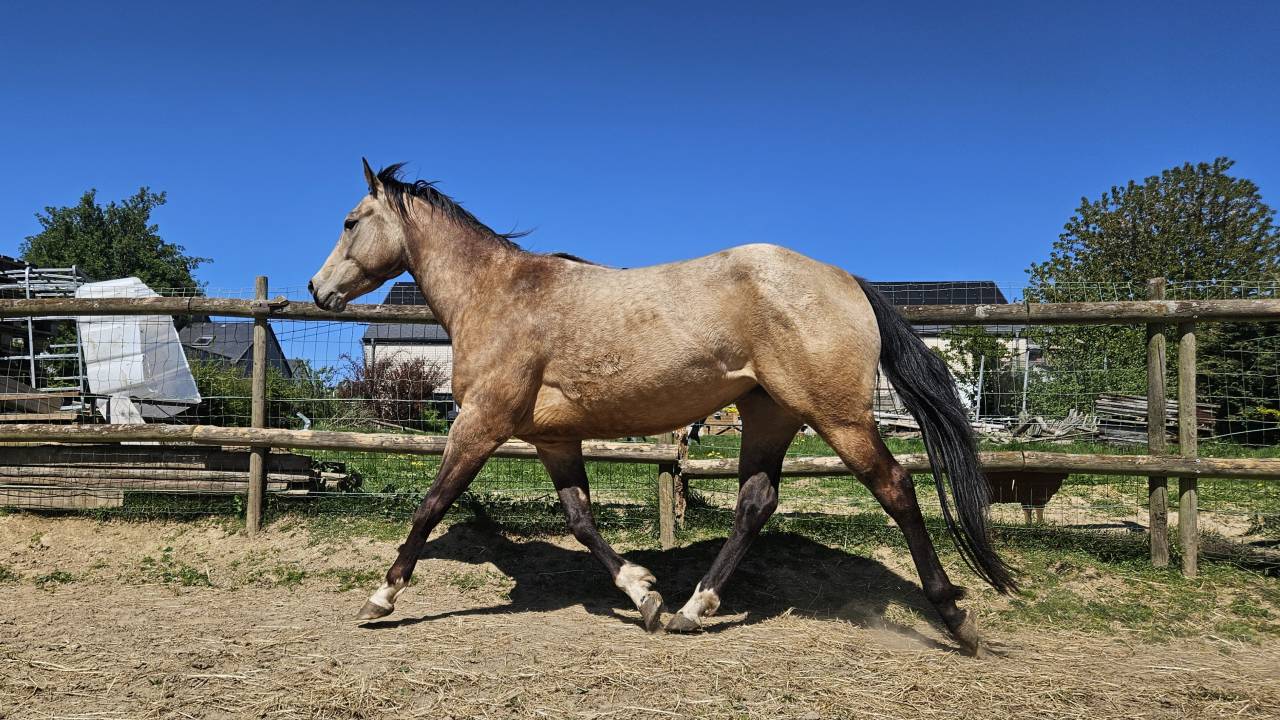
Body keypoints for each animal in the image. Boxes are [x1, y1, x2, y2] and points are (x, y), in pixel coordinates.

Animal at [308, 159, 1016, 656]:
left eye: (349, 221)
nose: (317, 289)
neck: (501, 295)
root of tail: (847, 280)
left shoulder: (481, 424)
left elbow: (430, 505)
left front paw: (379, 598)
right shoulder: (552, 440)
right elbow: (580, 520)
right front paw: (643, 594)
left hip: (837, 418)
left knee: (897, 487)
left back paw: (958, 620)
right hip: (770, 415)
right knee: (756, 502)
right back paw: (690, 610)